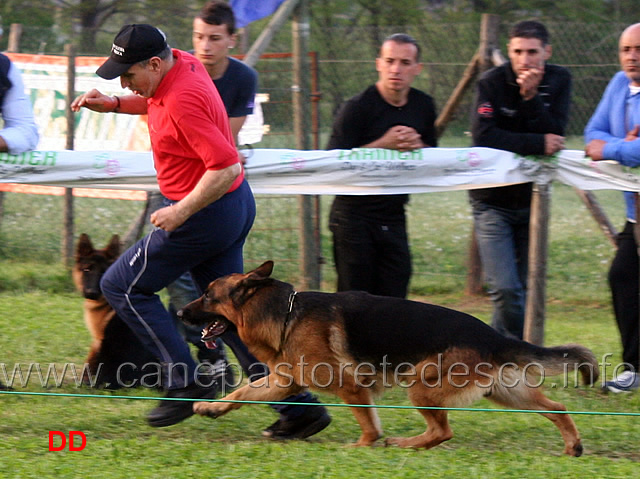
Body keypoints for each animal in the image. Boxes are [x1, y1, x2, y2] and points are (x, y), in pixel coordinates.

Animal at [179, 260, 600, 456]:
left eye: (207, 295)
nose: (181, 313)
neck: (284, 312)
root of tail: (493, 335)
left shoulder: (350, 387)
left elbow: (369, 425)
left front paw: (362, 447)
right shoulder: (285, 382)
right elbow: (241, 395)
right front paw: (210, 408)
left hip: (422, 387)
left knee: (442, 431)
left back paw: (402, 443)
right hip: (506, 393)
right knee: (558, 408)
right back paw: (572, 446)